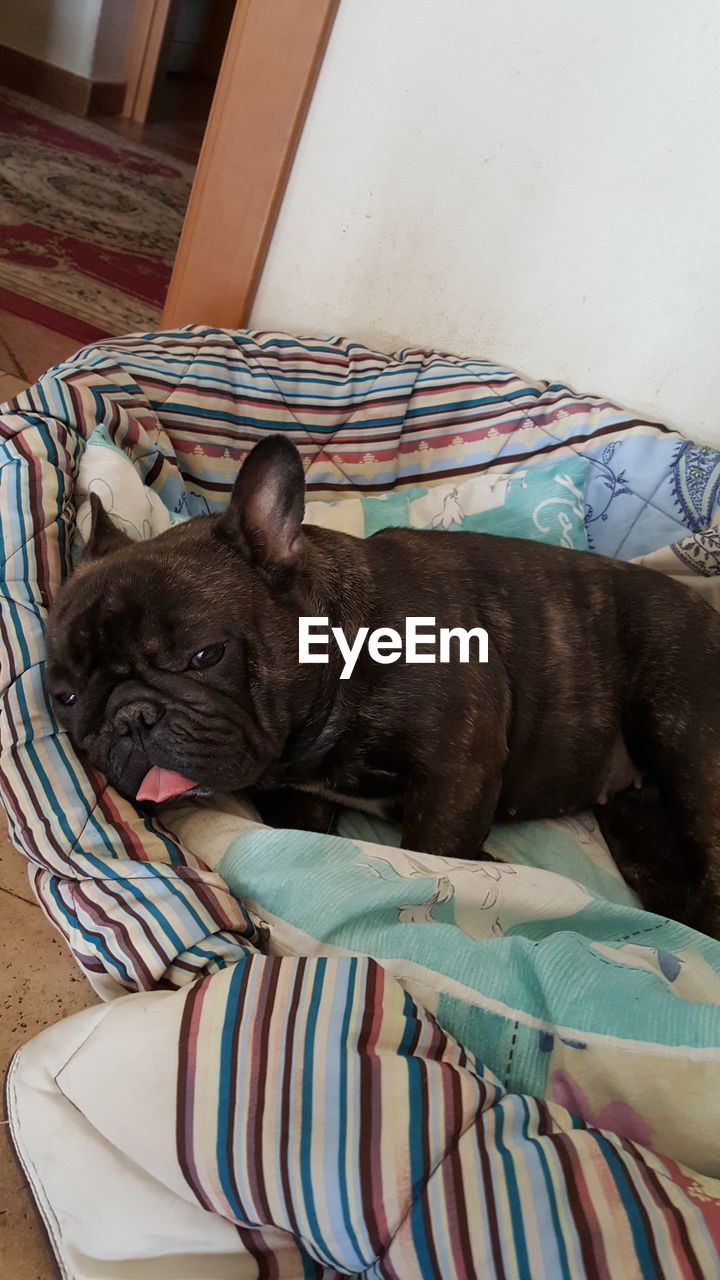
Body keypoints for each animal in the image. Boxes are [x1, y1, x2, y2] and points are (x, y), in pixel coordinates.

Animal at [44, 435, 717, 936]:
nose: (129, 718)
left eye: (205, 655)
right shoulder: (298, 798)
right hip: (638, 825)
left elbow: (437, 853)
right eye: (67, 699)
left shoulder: (458, 773)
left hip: (686, 745)